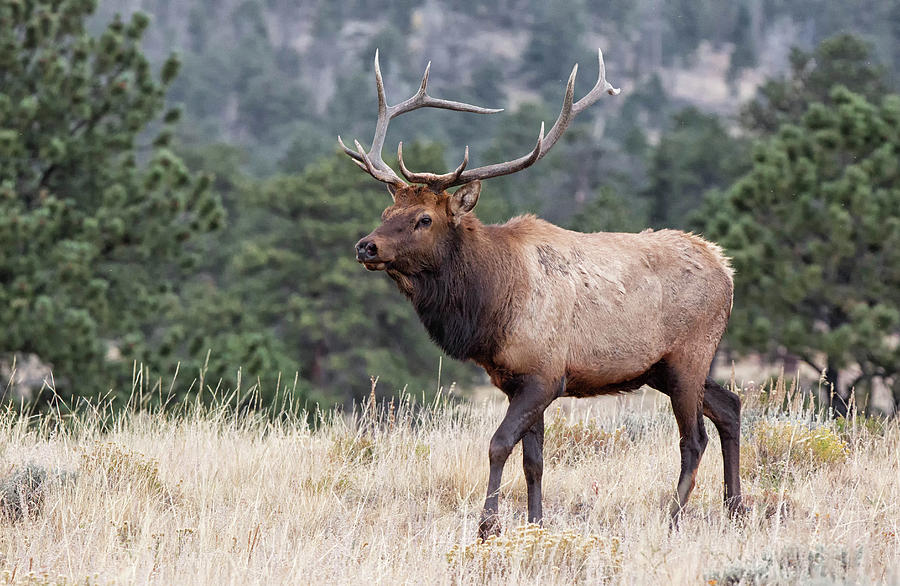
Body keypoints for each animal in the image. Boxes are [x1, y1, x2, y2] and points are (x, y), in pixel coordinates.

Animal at [342, 50, 740, 540]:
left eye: (423, 219)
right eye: (386, 211)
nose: (366, 246)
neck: (490, 307)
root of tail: (726, 269)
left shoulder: (544, 375)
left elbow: (498, 444)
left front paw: (488, 526)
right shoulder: (517, 380)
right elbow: (534, 461)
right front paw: (535, 525)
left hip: (689, 355)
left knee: (693, 438)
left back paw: (673, 519)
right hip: (664, 368)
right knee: (730, 406)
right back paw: (736, 508)